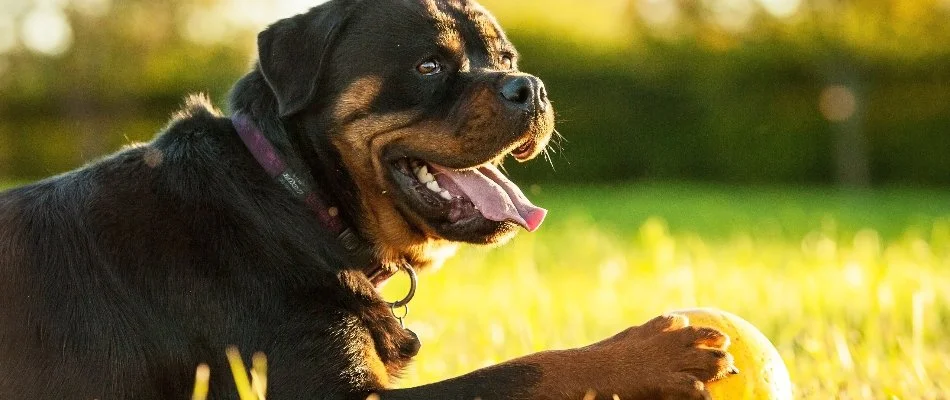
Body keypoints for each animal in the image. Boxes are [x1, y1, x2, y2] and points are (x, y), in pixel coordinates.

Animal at [0, 0, 736, 398]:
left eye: (505, 58)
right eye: (430, 66)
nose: (528, 85)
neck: (296, 203)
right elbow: (518, 373)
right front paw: (654, 352)